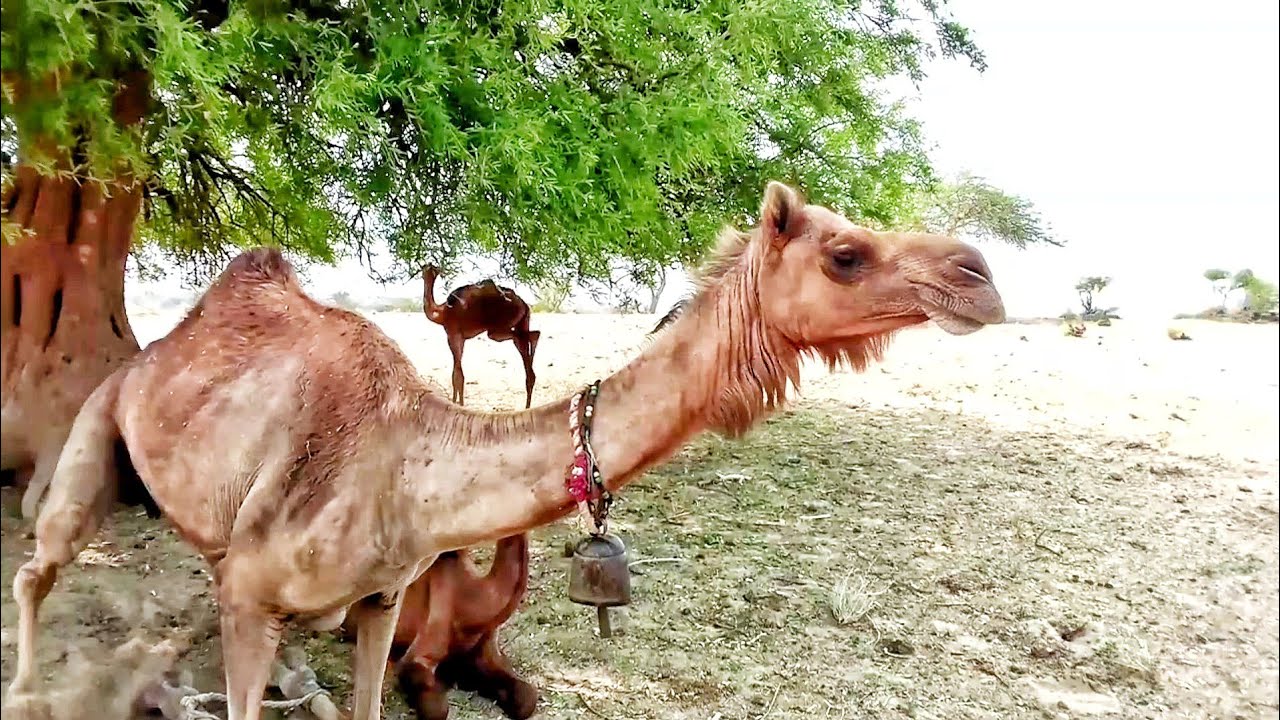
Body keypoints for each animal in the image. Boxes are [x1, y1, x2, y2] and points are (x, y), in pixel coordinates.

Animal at [423, 267, 540, 409]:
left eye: (431, 269)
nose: (424, 271)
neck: (441, 313)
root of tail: (524, 304)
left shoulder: (453, 335)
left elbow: (458, 376)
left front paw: (458, 404)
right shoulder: (461, 339)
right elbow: (456, 374)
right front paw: (456, 403)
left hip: (499, 327)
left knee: (528, 336)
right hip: (521, 322)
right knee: (528, 338)